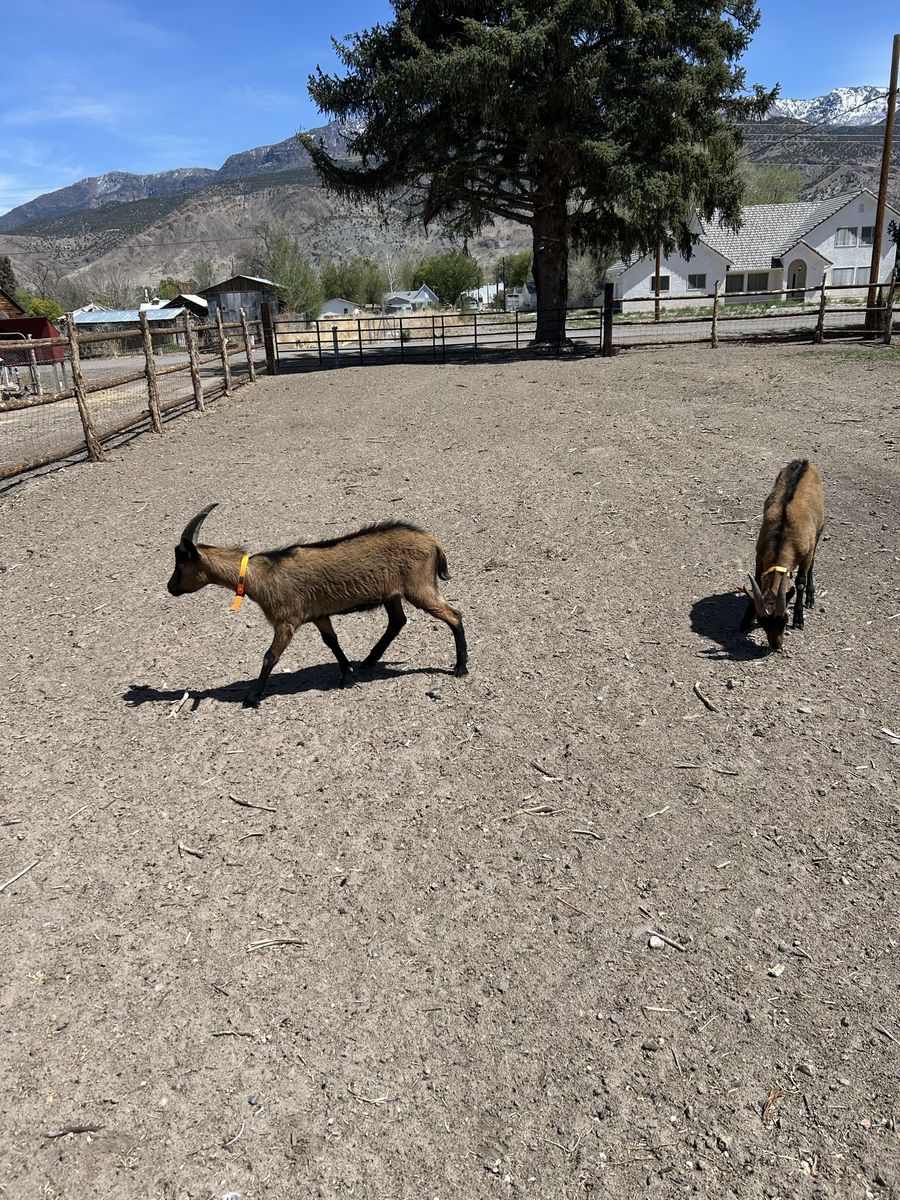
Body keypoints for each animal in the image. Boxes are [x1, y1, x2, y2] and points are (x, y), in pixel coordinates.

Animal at [167, 505, 468, 707]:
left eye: (181, 563)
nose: (170, 587)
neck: (259, 576)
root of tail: (433, 543)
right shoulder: (318, 614)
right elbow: (331, 642)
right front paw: (346, 675)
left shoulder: (287, 620)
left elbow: (269, 656)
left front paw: (252, 697)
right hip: (393, 593)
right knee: (397, 621)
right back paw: (368, 661)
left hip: (419, 587)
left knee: (454, 615)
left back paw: (461, 668)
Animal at [740, 459, 825, 651]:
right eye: (762, 621)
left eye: (785, 619)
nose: (775, 644)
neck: (783, 533)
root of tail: (803, 461)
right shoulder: (759, 555)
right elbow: (757, 580)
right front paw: (745, 619)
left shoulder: (805, 552)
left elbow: (800, 582)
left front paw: (799, 619)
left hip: (819, 530)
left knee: (812, 563)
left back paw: (810, 597)